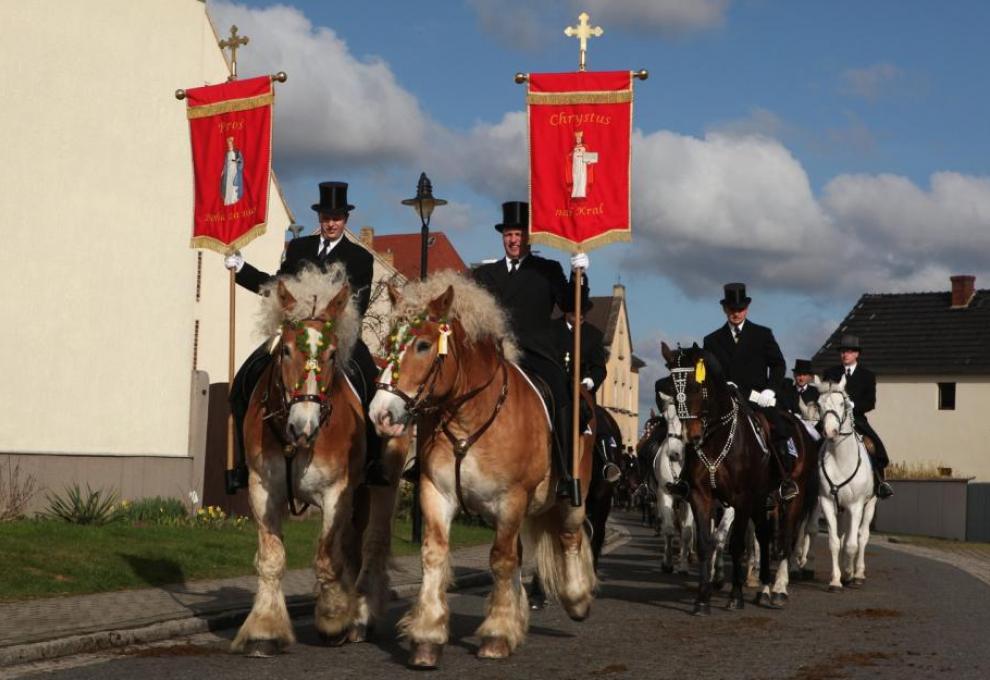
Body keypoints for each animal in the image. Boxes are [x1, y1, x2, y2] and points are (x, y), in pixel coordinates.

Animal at [232, 266, 404, 660]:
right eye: (285, 350)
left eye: (331, 354)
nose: (303, 426)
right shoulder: (262, 488)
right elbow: (272, 558)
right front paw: (265, 629)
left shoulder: (335, 493)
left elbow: (326, 557)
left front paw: (333, 620)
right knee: (354, 548)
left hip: (382, 487)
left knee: (372, 545)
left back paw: (361, 617)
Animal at [368, 272, 592, 668]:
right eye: (389, 341)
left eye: (423, 345)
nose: (381, 414)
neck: (467, 415)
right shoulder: (436, 493)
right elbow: (435, 554)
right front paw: (427, 637)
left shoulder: (511, 499)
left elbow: (501, 561)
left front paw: (496, 636)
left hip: (569, 499)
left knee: (570, 536)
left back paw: (577, 599)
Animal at [668, 342, 820, 612]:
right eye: (675, 390)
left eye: (697, 386)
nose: (691, 437)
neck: (716, 439)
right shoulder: (700, 496)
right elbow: (706, 543)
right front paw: (702, 598)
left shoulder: (741, 499)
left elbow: (737, 544)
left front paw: (735, 596)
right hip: (761, 501)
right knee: (764, 536)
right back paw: (765, 589)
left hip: (792, 497)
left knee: (786, 539)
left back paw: (779, 589)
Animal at [804, 374, 880, 592]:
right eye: (819, 405)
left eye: (842, 403)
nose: (830, 431)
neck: (841, 459)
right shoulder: (827, 503)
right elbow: (835, 542)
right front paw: (836, 580)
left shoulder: (856, 506)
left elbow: (852, 544)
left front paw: (850, 575)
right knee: (845, 536)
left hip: (869, 504)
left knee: (862, 536)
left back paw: (859, 573)